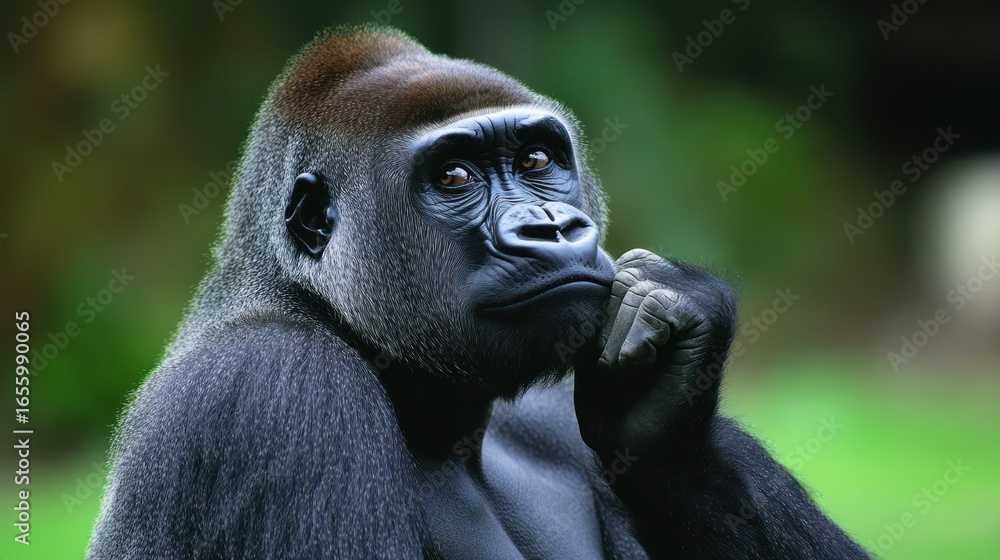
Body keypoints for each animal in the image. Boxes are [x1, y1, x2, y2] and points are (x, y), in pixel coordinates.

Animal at [88, 25, 871, 560]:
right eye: (456, 177)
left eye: (537, 160)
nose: (551, 227)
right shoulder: (272, 391)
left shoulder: (548, 409)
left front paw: (665, 403)